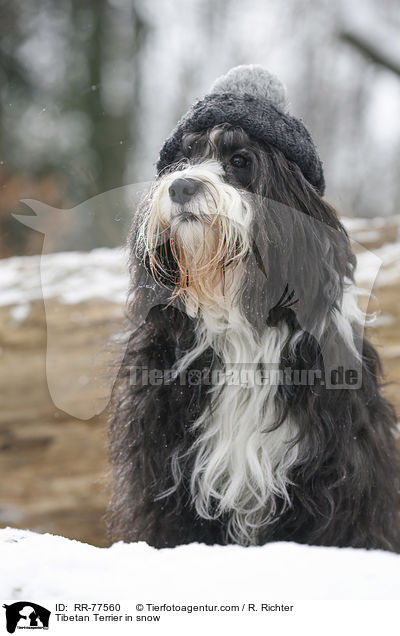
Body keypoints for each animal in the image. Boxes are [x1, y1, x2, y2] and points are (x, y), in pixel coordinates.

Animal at [108, 66, 400, 552]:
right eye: (181, 161)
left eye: (241, 161)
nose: (181, 186)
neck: (238, 323)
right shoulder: (163, 467)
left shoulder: (338, 475)